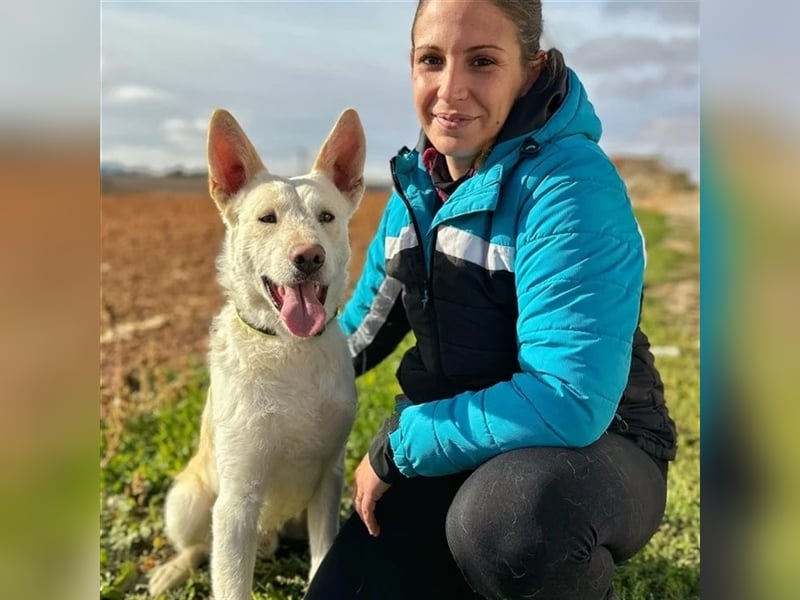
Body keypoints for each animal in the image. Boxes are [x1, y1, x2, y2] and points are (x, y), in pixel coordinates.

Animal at [148, 108, 365, 599]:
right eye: (268, 218)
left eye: (327, 216)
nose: (309, 257)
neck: (288, 349)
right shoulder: (237, 501)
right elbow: (230, 580)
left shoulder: (329, 479)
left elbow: (323, 556)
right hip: (187, 500)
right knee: (198, 545)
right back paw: (172, 570)